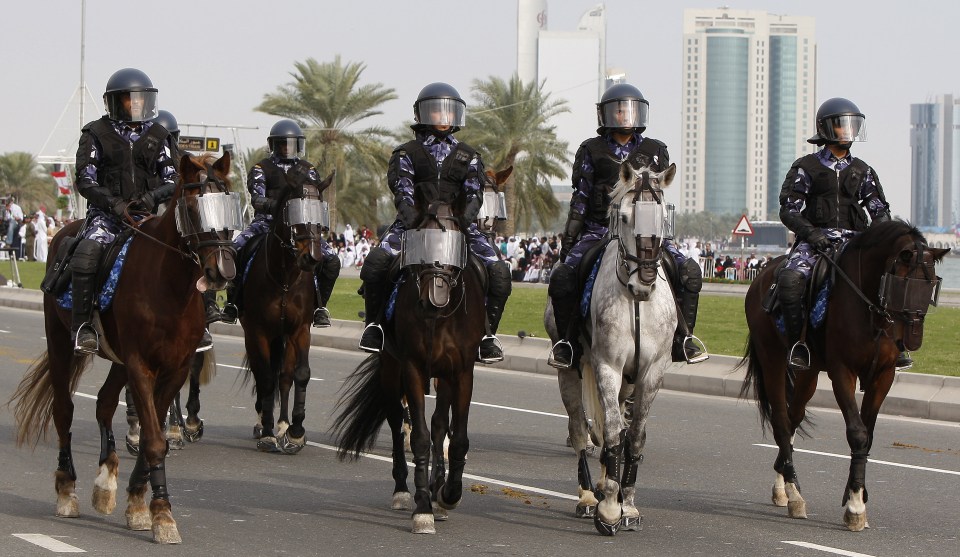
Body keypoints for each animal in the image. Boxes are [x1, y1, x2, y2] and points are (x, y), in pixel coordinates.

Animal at [10, 152, 239, 544]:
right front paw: (162, 514)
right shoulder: (140, 365)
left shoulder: (175, 368)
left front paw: (137, 503)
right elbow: (154, 440)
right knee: (63, 411)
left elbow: (153, 435)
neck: (169, 286)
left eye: (227, 206)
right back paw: (67, 491)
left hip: (118, 361)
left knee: (103, 403)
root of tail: (65, 234)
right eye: (194, 207)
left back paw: (106, 481)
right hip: (61, 344)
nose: (222, 269)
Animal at [242, 173, 336, 452]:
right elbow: (265, 378)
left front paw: (295, 431)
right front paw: (267, 433)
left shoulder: (299, 330)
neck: (284, 278)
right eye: (294, 211)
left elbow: (300, 375)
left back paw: (282, 424)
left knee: (283, 376)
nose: (312, 257)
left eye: (320, 211)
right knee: (264, 376)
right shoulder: (258, 332)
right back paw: (263, 423)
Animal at [336, 200, 488, 536]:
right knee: (396, 422)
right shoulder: (413, 368)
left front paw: (447, 494)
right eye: (420, 242)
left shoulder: (460, 372)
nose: (434, 299)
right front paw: (423, 509)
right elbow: (418, 435)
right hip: (391, 369)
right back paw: (402, 491)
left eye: (453, 242)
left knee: (438, 425)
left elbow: (454, 436)